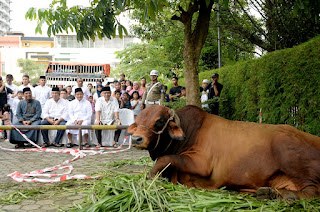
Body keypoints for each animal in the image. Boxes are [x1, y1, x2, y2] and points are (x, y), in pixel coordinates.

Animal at [128, 105, 320, 200]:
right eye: (137, 121)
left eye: (159, 121)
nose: (137, 139)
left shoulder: (202, 164)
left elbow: (165, 158)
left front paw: (151, 176)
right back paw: (266, 192)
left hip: (288, 154)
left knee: (313, 191)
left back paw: (282, 195)